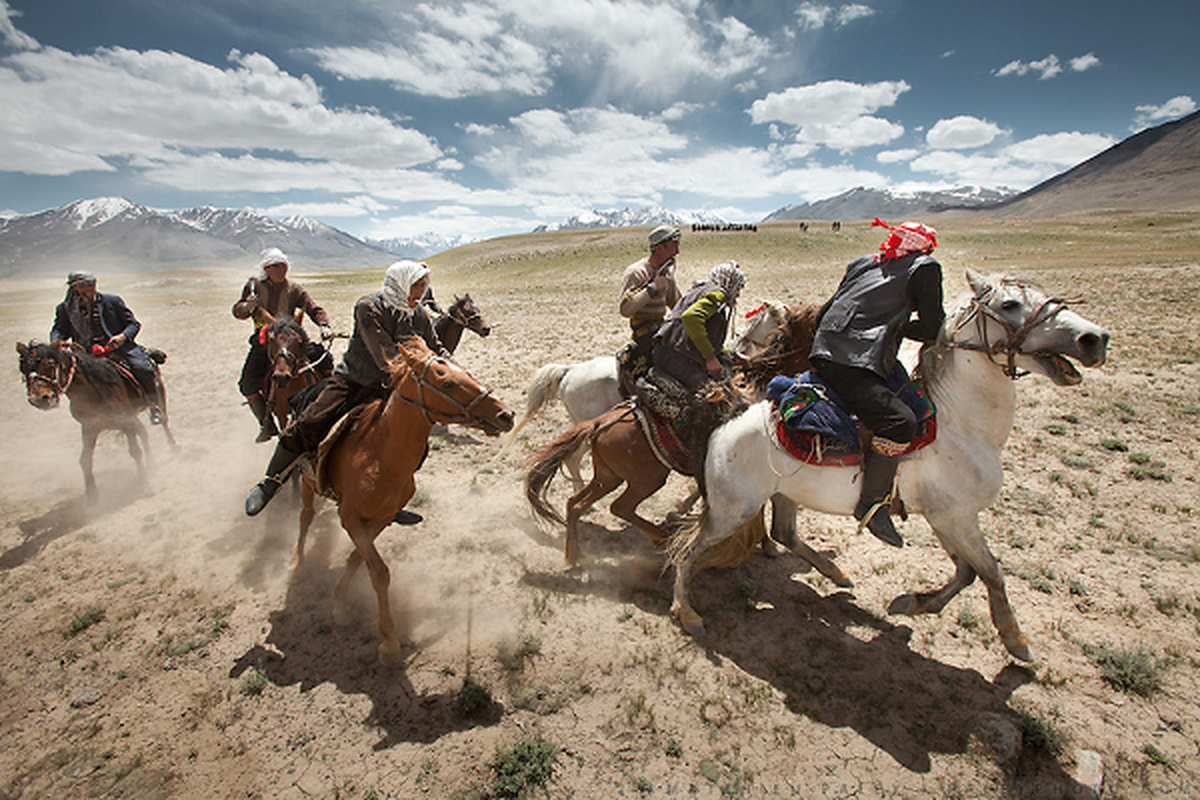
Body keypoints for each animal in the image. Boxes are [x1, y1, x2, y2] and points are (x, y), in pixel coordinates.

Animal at [16, 338, 176, 494]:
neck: (93, 389)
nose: (39, 399)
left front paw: (144, 484)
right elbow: (85, 460)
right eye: (23, 369)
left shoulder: (125, 420)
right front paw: (91, 494)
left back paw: (174, 445)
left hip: (158, 394)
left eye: (49, 364)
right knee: (143, 432)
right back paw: (152, 464)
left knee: (164, 421)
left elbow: (135, 451)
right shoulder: (90, 425)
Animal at [291, 335, 516, 662]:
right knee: (305, 515)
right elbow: (379, 572)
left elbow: (357, 559)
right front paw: (388, 641)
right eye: (447, 382)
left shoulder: (381, 518)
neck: (377, 454)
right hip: (307, 479)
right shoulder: (351, 518)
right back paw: (295, 561)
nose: (505, 415)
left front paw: (340, 602)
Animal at [667, 271, 1104, 662]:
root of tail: (728, 416)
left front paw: (913, 603)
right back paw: (686, 612)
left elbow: (967, 572)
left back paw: (837, 573)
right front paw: (1015, 640)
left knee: (783, 533)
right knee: (689, 550)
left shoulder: (945, 517)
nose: (1094, 339)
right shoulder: (957, 516)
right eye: (1010, 304)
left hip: (782, 494)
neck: (961, 422)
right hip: (732, 510)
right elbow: (991, 571)